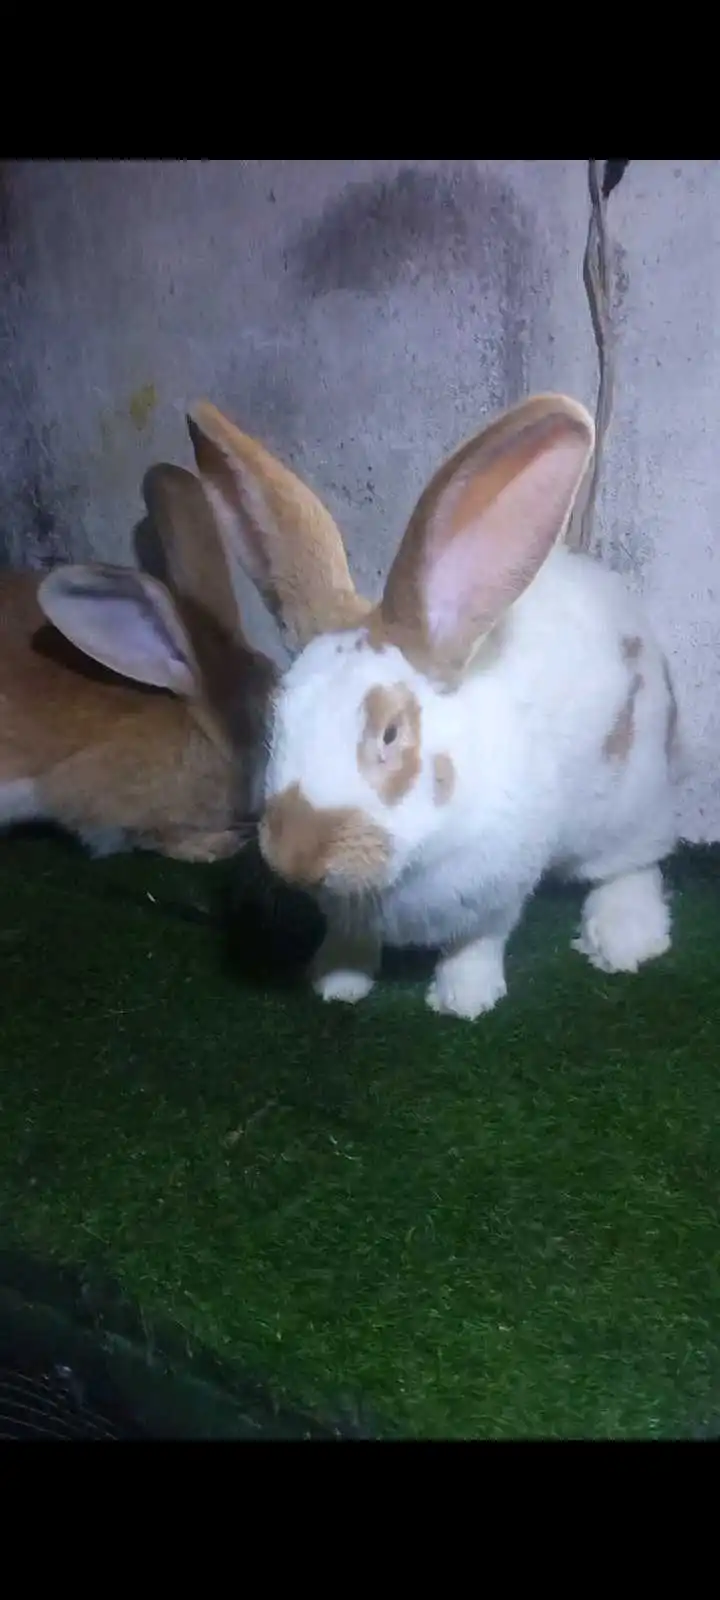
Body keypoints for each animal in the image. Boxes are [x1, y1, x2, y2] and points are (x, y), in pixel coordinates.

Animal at [186, 392, 680, 1019]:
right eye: (277, 719)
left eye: (391, 734)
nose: (296, 854)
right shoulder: (348, 912)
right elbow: (348, 941)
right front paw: (334, 984)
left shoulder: (495, 890)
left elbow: (477, 942)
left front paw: (463, 1001)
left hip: (629, 799)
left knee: (635, 863)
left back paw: (623, 939)